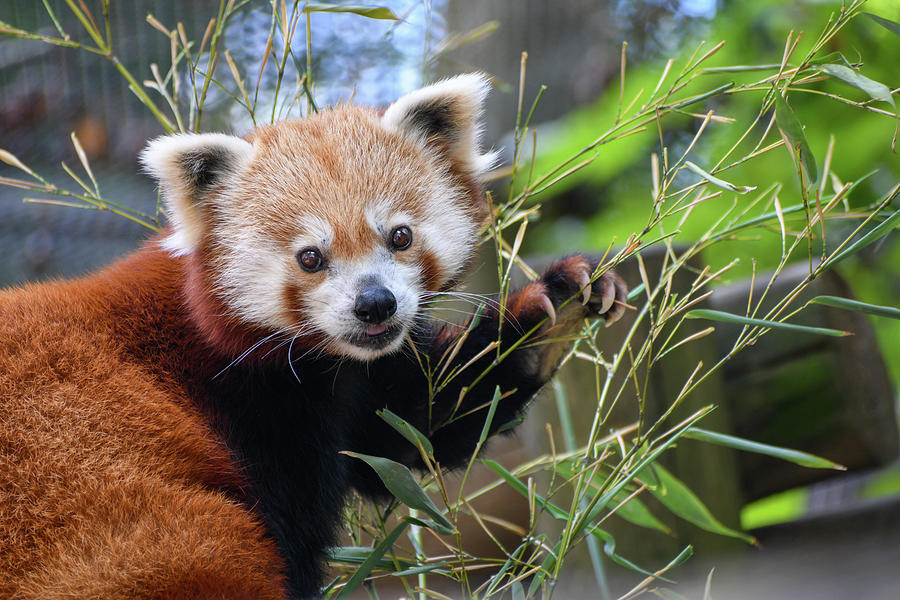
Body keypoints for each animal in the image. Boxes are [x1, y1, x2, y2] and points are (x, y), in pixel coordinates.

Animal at [0, 76, 624, 600]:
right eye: (310, 257)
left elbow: (417, 426)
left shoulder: (350, 391)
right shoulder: (256, 414)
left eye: (400, 236)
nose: (375, 304)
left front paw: (549, 314)